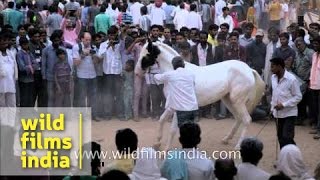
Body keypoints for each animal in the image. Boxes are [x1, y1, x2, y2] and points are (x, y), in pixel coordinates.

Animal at [134, 40, 266, 150]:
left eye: (146, 55)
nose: (137, 73)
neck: (175, 72)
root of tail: (249, 70)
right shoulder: (171, 106)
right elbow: (161, 120)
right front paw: (157, 143)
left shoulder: (177, 106)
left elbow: (172, 129)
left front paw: (166, 150)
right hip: (229, 100)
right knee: (239, 118)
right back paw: (226, 139)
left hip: (237, 101)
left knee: (246, 119)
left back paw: (238, 146)